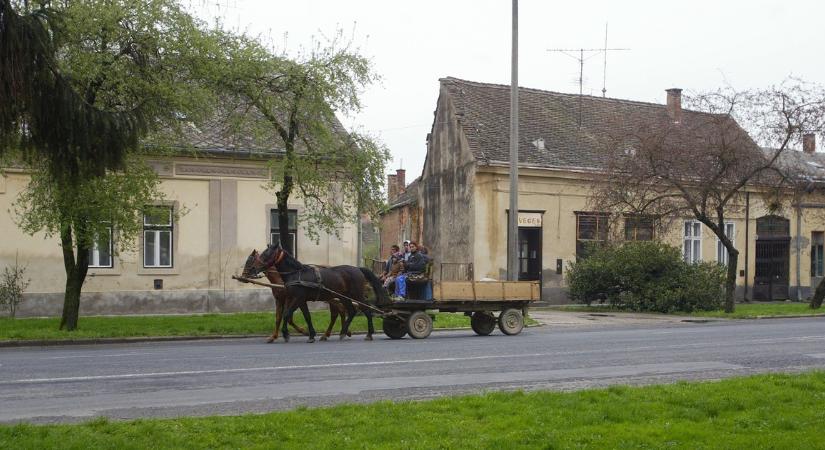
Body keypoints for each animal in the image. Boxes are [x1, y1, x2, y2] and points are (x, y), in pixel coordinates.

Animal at [243, 243, 392, 342]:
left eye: (266, 254)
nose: (250, 271)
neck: (296, 274)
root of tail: (358, 269)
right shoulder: (299, 300)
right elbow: (304, 316)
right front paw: (310, 334)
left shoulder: (296, 298)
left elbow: (286, 315)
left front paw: (286, 334)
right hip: (343, 297)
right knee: (350, 311)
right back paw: (343, 332)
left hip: (356, 295)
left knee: (365, 310)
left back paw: (368, 333)